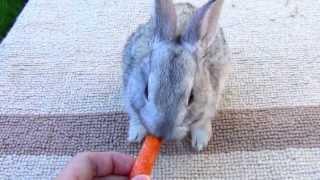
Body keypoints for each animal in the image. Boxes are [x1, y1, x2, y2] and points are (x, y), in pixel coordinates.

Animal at [122, 0, 230, 150]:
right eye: (146, 91)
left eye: (192, 97)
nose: (161, 132)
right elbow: (135, 115)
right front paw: (135, 135)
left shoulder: (211, 101)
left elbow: (202, 122)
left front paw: (200, 143)